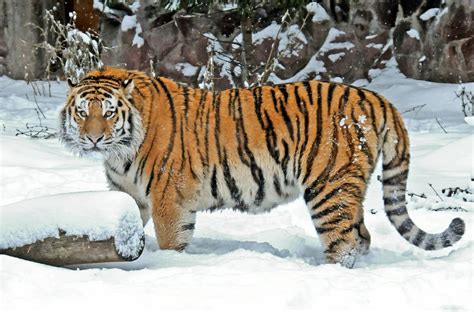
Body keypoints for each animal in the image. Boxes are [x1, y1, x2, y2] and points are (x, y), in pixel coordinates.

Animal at [58, 67, 462, 266]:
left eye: (109, 112)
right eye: (82, 112)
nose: (93, 138)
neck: (119, 150)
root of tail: (376, 97)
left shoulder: (167, 198)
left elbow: (172, 242)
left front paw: (169, 267)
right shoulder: (134, 198)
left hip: (329, 187)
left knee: (344, 242)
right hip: (347, 188)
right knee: (361, 237)